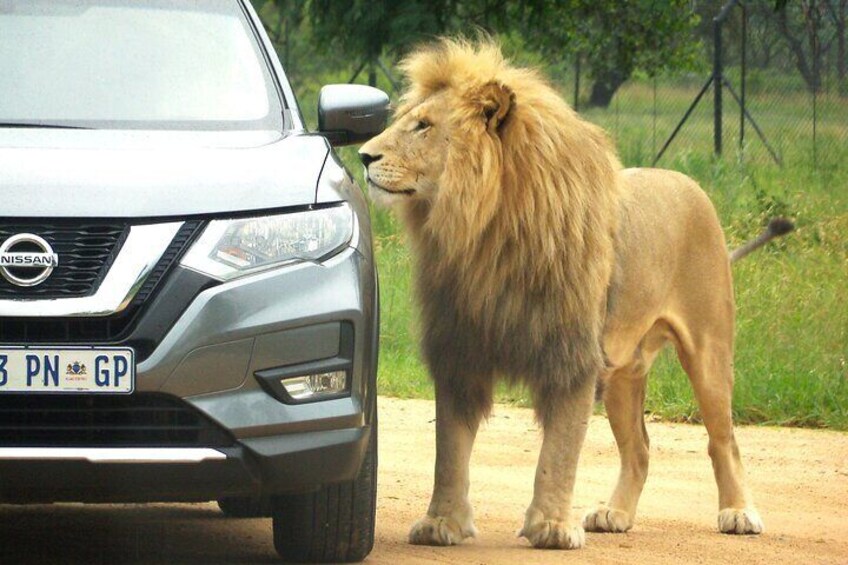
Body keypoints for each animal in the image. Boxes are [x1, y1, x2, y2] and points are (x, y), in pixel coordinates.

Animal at [358, 38, 788, 548]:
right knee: (640, 448)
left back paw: (739, 513)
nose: (362, 156)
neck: (485, 235)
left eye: (423, 126)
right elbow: (450, 449)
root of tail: (687, 182)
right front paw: (442, 523)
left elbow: (559, 452)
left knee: (724, 440)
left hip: (708, 350)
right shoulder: (460, 349)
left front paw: (550, 527)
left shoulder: (571, 355)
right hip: (623, 369)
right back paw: (614, 513)